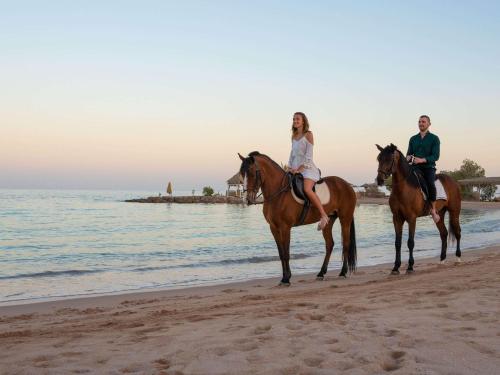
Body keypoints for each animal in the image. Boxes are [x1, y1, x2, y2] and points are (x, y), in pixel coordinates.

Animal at [237, 151, 358, 286]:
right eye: (241, 173)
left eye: (252, 173)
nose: (246, 199)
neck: (279, 193)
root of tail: (347, 185)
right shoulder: (273, 228)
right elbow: (281, 253)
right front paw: (284, 277)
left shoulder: (285, 227)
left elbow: (286, 253)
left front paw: (286, 279)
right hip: (329, 220)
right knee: (329, 244)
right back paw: (321, 273)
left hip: (345, 219)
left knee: (346, 244)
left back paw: (342, 272)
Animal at [376, 142, 460, 274]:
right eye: (379, 159)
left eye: (389, 159)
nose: (379, 180)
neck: (403, 188)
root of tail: (454, 182)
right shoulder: (397, 218)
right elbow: (397, 243)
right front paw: (396, 267)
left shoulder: (412, 218)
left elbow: (410, 242)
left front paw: (410, 266)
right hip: (439, 214)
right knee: (444, 233)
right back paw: (442, 259)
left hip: (455, 212)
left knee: (457, 232)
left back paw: (458, 257)